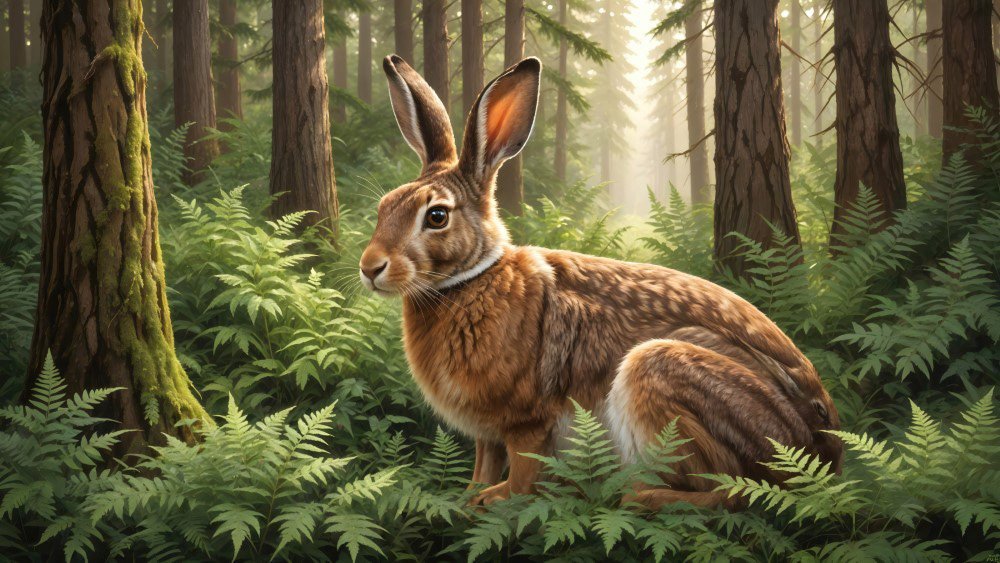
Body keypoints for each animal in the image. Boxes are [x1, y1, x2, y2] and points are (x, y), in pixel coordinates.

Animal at [359, 54, 843, 509]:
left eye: (437, 216)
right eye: (383, 206)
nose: (369, 266)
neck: (471, 279)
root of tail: (824, 447)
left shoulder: (527, 421)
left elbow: (523, 471)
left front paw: (494, 499)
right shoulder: (487, 432)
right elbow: (485, 459)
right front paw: (469, 494)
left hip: (667, 377)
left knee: (733, 490)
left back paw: (636, 496)